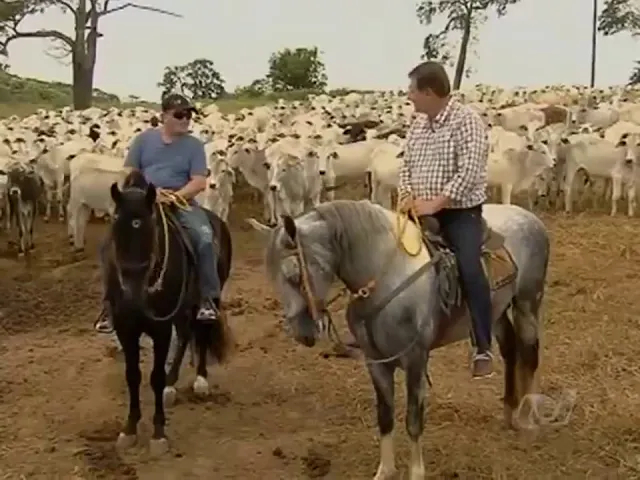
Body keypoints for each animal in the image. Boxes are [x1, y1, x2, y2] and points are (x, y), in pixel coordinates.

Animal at [106, 170, 233, 456]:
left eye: (148, 229)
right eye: (115, 229)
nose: (131, 294)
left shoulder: (160, 329)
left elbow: (154, 376)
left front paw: (158, 434)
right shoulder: (126, 329)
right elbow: (132, 376)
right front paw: (129, 429)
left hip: (207, 298)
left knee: (201, 333)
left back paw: (200, 381)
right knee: (186, 334)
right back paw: (172, 384)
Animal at [247, 199, 549, 480]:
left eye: (293, 274)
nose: (300, 332)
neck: (385, 278)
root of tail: (530, 217)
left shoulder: (415, 360)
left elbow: (413, 419)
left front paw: (416, 472)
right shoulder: (376, 362)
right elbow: (385, 416)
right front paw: (385, 470)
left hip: (527, 303)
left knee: (530, 355)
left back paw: (528, 417)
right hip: (497, 311)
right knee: (510, 350)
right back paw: (509, 412)